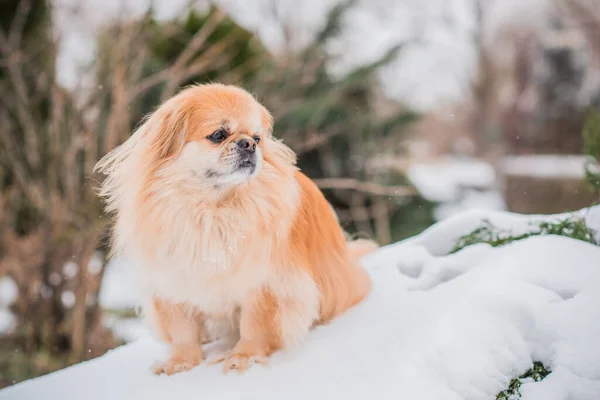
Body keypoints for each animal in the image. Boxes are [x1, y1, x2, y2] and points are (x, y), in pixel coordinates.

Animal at [96, 83, 378, 374]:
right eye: (218, 135)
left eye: (257, 138)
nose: (249, 144)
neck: (212, 211)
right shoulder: (172, 283)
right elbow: (182, 330)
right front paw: (182, 362)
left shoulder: (265, 284)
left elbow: (254, 325)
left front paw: (244, 356)